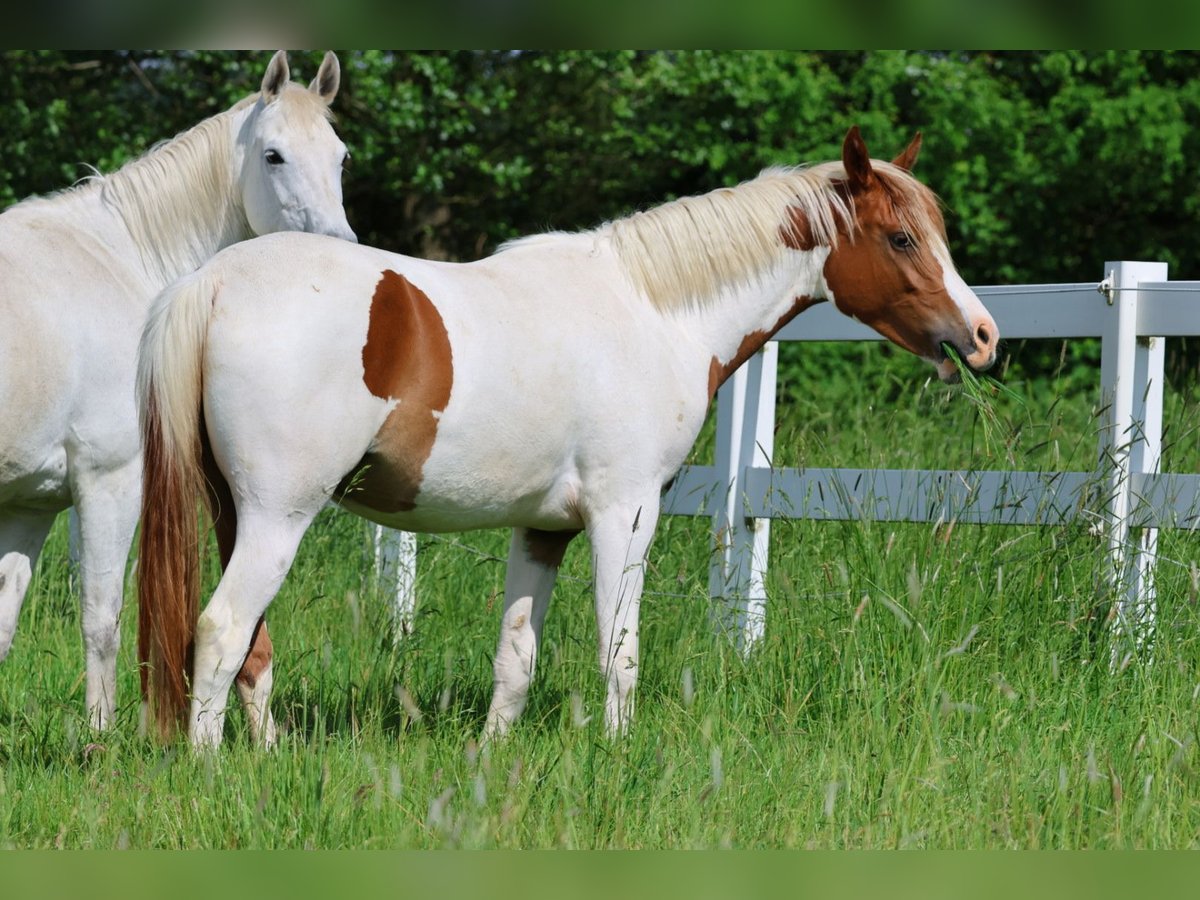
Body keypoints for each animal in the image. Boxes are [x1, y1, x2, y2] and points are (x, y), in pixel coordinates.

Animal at [0, 49, 355, 734]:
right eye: (274, 155)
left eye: (341, 156)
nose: (337, 252)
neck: (121, 258)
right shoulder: (109, 482)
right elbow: (101, 618)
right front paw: (99, 740)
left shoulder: (29, 504)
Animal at [136, 125, 998, 748]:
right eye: (900, 238)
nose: (984, 336)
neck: (653, 310)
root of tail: (211, 285)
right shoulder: (625, 513)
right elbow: (620, 650)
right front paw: (618, 757)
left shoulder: (542, 528)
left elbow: (516, 657)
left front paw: (493, 758)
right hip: (277, 516)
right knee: (221, 630)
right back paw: (210, 769)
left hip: (232, 513)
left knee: (252, 648)